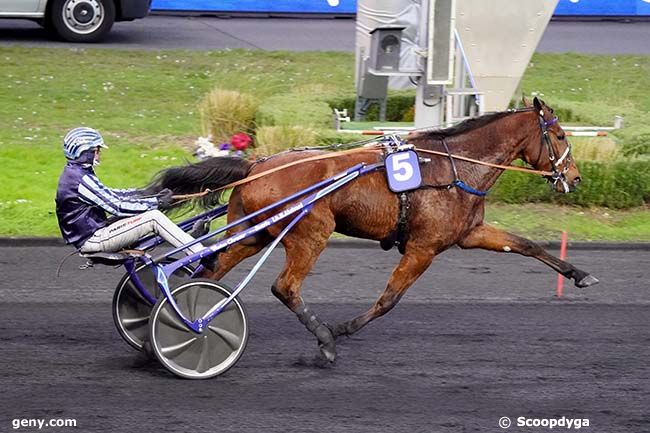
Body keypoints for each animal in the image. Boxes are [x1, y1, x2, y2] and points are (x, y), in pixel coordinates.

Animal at [147, 98, 596, 362]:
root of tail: (257, 164)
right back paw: (324, 340)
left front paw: (579, 274)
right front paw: (340, 329)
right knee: (284, 287)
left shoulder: (469, 234)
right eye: (559, 135)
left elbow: (526, 245)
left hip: (254, 232)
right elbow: (389, 299)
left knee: (210, 271)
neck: (454, 168)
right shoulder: (422, 248)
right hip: (311, 231)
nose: (574, 177)